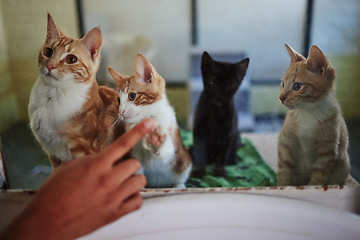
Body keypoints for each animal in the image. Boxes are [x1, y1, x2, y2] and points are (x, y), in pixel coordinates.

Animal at [28, 12, 124, 167]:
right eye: (48, 52)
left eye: (71, 59)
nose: (50, 66)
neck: (52, 94)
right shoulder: (52, 154)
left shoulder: (85, 153)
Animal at [108, 54, 193, 188]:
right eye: (118, 100)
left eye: (132, 96)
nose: (121, 112)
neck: (142, 120)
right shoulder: (133, 153)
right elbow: (136, 168)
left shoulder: (169, 129)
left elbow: (167, 153)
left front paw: (156, 140)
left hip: (184, 162)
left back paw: (178, 186)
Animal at [278, 43, 350, 186]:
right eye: (283, 84)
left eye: (297, 86)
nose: (281, 98)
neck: (309, 112)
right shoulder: (286, 142)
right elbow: (284, 171)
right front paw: (282, 187)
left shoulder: (327, 152)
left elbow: (318, 179)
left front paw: (311, 188)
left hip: (343, 166)